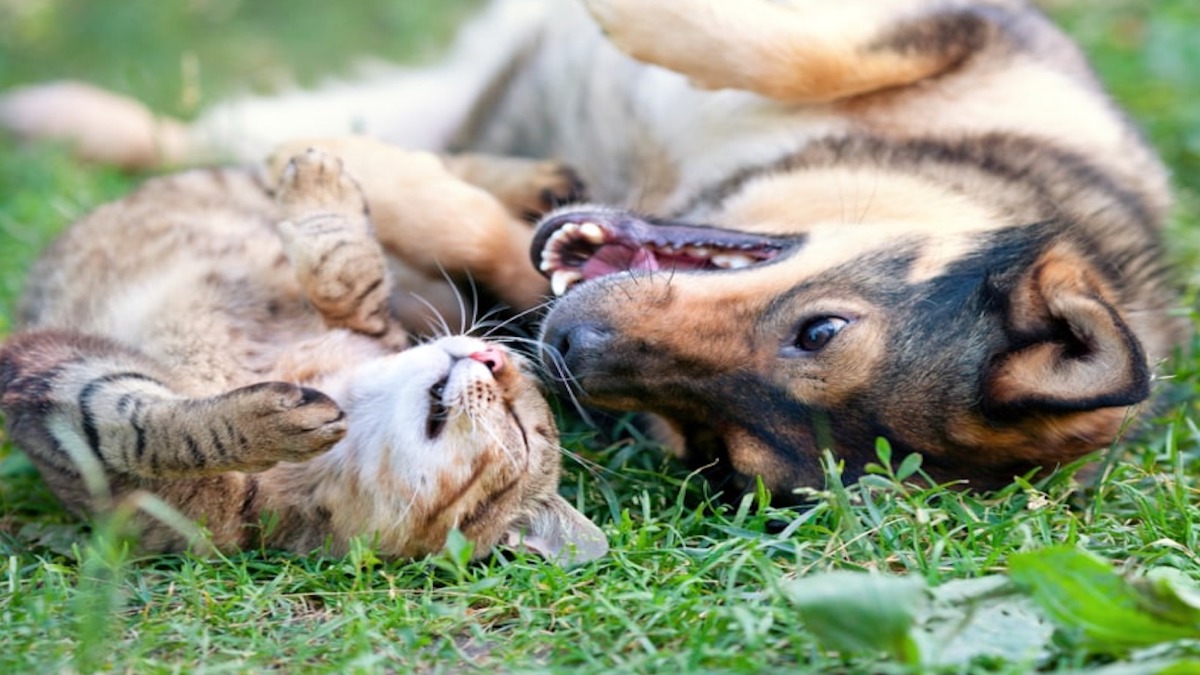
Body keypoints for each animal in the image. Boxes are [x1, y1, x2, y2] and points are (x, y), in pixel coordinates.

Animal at [0, 0, 1185, 497]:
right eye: (821, 329)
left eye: (719, 452)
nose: (566, 353)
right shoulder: (963, 30)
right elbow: (799, 46)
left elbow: (478, 233)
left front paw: (369, 179)